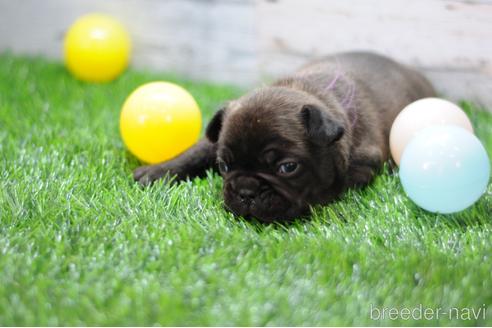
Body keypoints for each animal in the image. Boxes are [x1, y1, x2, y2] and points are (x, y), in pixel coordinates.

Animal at [134, 51, 434, 222]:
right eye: (224, 166)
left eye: (287, 168)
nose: (246, 191)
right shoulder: (215, 141)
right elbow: (194, 152)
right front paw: (156, 172)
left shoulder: (364, 164)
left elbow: (336, 185)